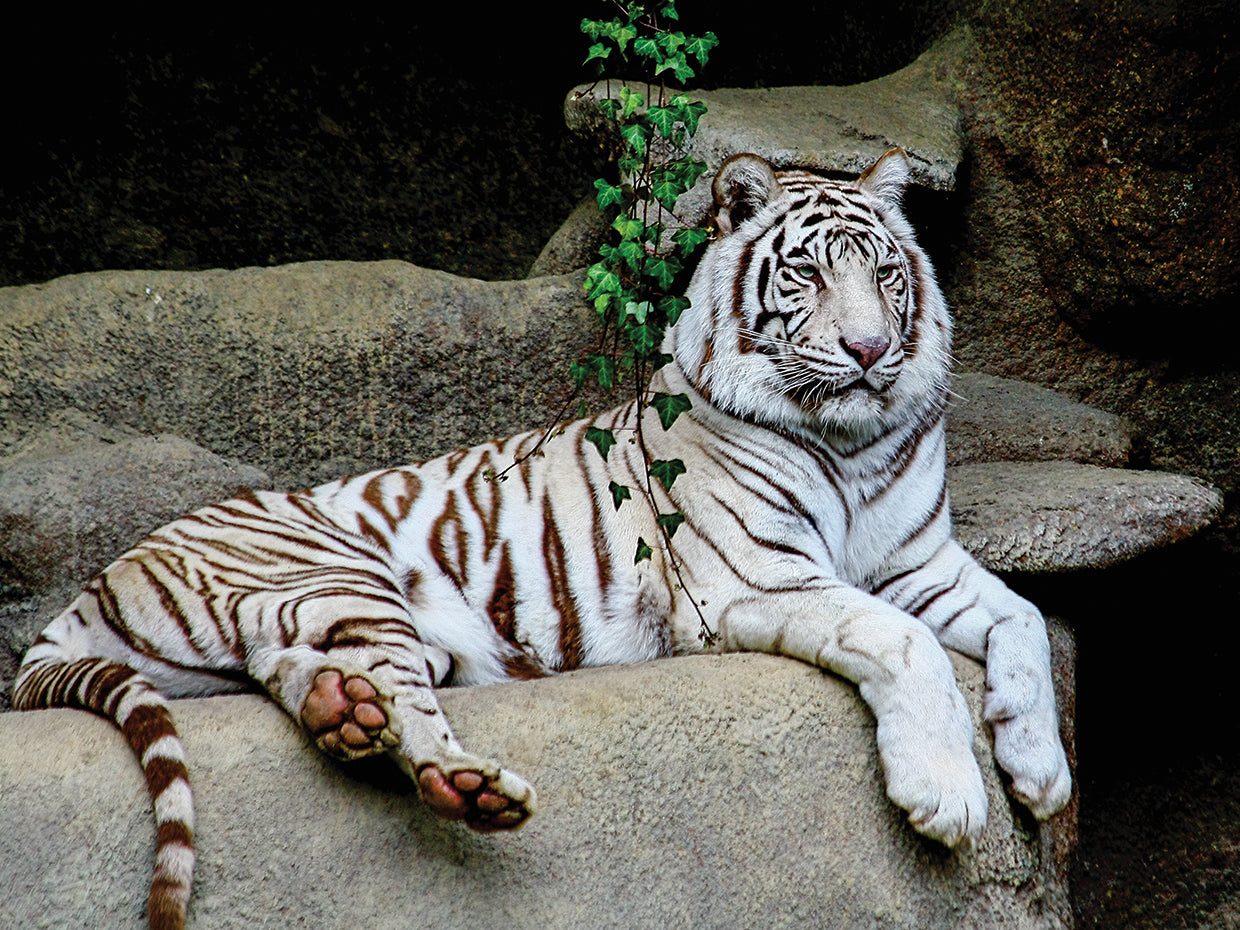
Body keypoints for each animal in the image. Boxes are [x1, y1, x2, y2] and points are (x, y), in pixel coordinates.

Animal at [13, 149, 1072, 930]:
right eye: (810, 272)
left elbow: (1022, 618)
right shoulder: (759, 576)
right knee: (410, 718)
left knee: (296, 673)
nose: (867, 350)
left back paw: (339, 711)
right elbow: (908, 643)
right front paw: (949, 795)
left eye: (886, 273)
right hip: (343, 578)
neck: (852, 440)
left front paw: (1041, 771)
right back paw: (465, 782)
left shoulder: (920, 562)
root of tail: (91, 586)